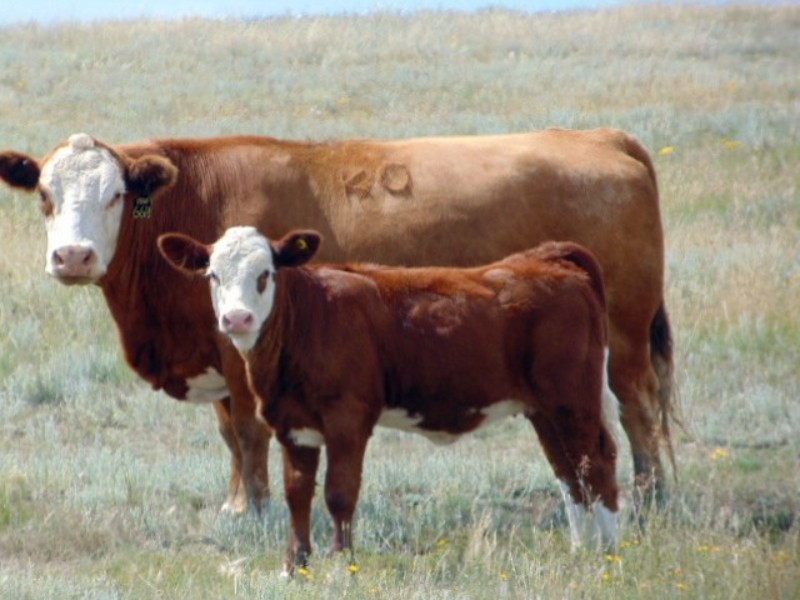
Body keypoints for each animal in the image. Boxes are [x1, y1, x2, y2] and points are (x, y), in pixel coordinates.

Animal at [0, 127, 673, 515]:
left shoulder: (245, 359)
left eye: (114, 195)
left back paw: (651, 496)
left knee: (636, 405)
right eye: (45, 197)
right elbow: (229, 436)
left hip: (625, 333)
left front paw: (252, 513)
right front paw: (235, 503)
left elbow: (248, 432)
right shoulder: (220, 353)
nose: (74, 257)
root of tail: (602, 137)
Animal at [158, 225, 621, 572]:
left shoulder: (347, 418)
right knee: (569, 472)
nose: (237, 319)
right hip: (544, 410)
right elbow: (297, 494)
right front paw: (295, 566)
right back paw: (583, 549)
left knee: (596, 462)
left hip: (572, 399)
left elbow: (339, 493)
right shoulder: (293, 424)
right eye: (213, 276)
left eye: (265, 273)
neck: (308, 320)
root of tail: (547, 257)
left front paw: (341, 564)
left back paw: (611, 553)